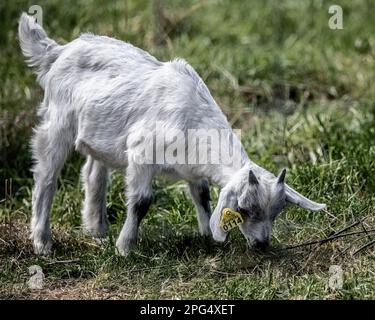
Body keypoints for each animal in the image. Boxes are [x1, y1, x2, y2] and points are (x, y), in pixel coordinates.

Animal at [18, 13, 326, 256]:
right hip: (56, 124)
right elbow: (142, 201)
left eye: (277, 211)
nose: (262, 244)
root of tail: (58, 51)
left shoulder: (193, 166)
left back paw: (97, 230)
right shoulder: (142, 152)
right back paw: (42, 242)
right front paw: (125, 247)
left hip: (102, 133)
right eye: (245, 209)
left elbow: (202, 194)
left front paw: (207, 235)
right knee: (46, 177)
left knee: (93, 172)